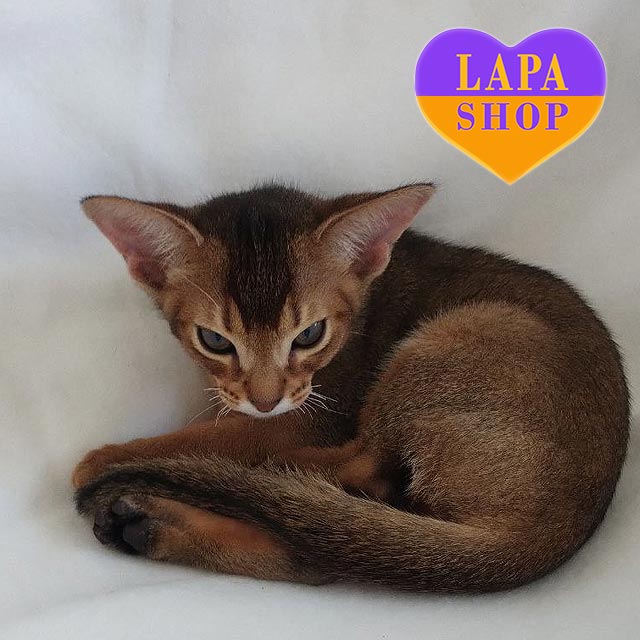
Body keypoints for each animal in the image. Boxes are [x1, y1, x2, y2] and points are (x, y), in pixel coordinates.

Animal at [74, 183, 629, 591]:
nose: (265, 398)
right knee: (327, 552)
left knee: (352, 479)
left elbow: (213, 436)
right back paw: (143, 526)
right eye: (213, 339)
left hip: (453, 343)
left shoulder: (314, 412)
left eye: (310, 334)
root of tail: (560, 529)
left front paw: (104, 460)